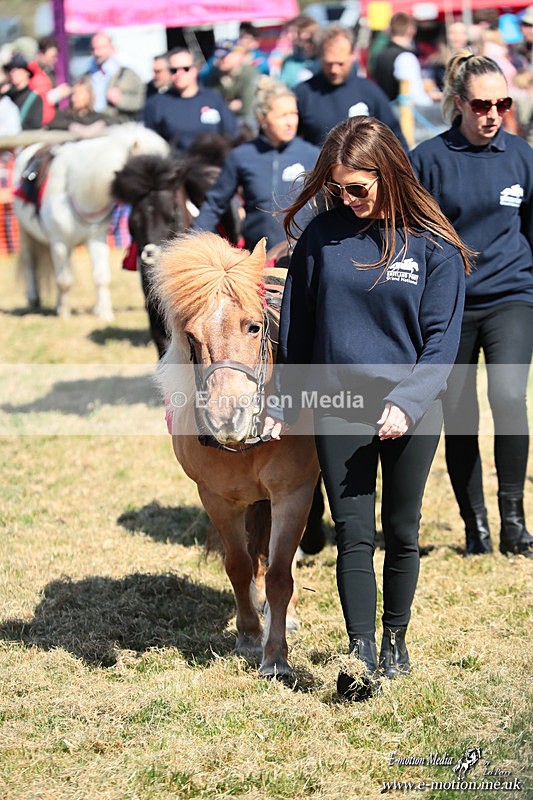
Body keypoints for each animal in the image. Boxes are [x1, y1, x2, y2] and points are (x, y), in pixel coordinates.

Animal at [13, 123, 169, 321]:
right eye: (146, 167)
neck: (76, 190)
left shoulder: (96, 239)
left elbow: (100, 277)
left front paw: (104, 312)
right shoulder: (59, 242)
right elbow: (64, 280)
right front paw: (64, 313)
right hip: (26, 233)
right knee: (30, 263)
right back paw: (34, 300)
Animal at [152, 231, 319, 680]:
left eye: (254, 325)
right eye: (191, 338)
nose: (227, 416)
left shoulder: (293, 493)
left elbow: (280, 574)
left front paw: (276, 657)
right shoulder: (216, 498)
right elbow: (239, 566)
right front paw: (247, 636)